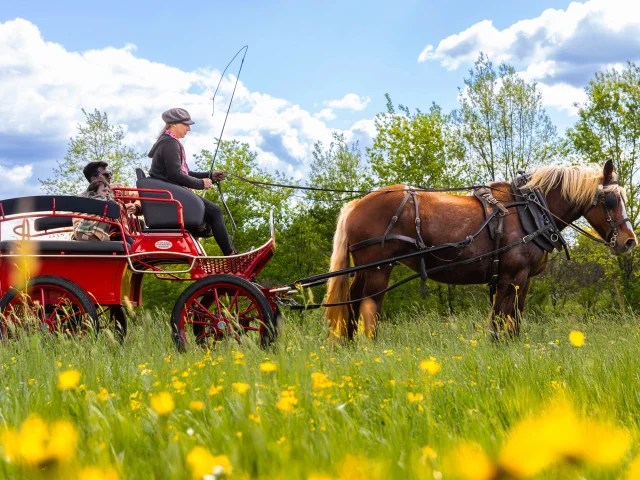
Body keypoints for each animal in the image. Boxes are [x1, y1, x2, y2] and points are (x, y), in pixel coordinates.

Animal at [328, 160, 636, 338]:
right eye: (610, 200)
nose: (629, 241)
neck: (531, 212)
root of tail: (356, 204)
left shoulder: (523, 281)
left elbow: (515, 322)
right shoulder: (510, 277)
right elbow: (499, 323)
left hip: (365, 270)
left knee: (351, 305)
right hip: (378, 270)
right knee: (368, 309)